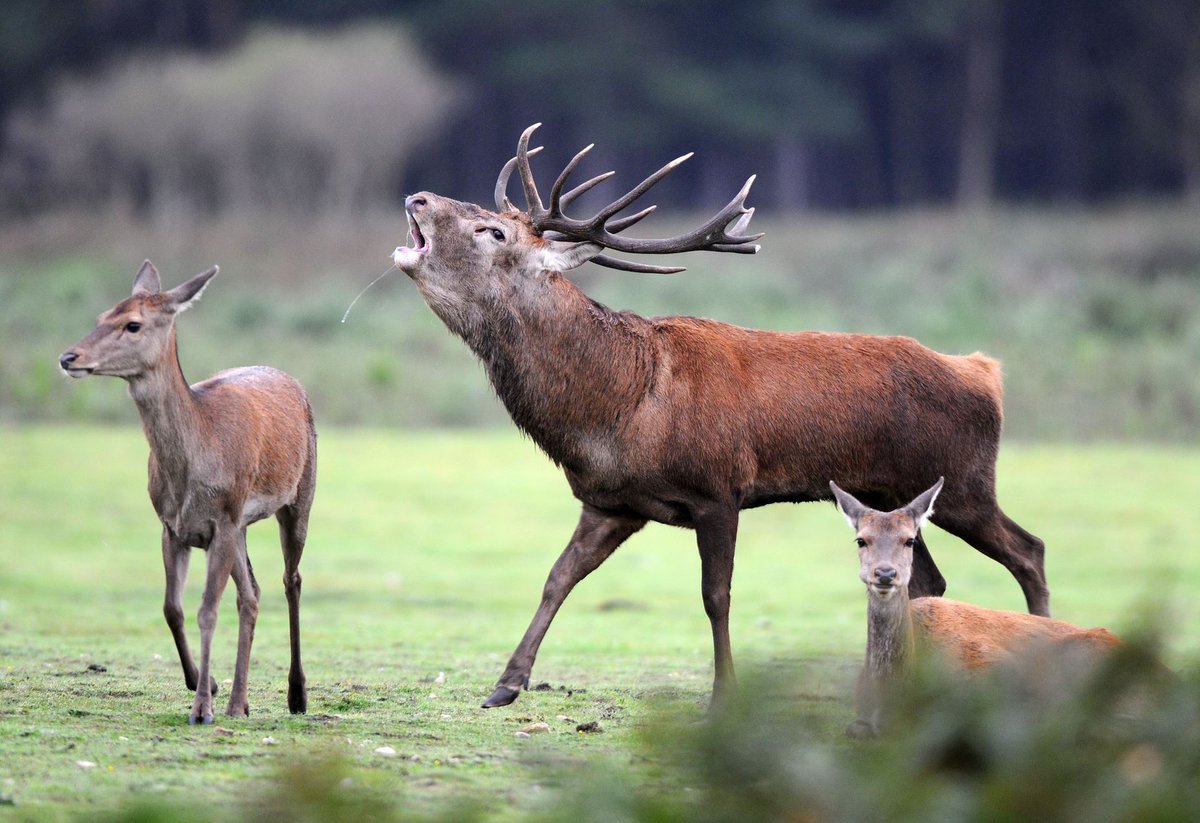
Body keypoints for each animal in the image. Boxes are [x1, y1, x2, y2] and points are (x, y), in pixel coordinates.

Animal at [61, 263, 316, 729]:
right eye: (101, 315)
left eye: (133, 324)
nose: (69, 358)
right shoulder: (173, 526)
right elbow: (172, 608)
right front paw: (206, 683)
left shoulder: (224, 519)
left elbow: (207, 610)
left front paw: (202, 708)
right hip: (240, 528)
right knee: (251, 593)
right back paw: (240, 701)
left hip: (297, 496)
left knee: (291, 581)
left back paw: (296, 694)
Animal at [388, 122, 1046, 710]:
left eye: (492, 230)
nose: (416, 196)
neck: (619, 408)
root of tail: (984, 372)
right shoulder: (611, 503)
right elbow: (557, 578)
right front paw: (505, 684)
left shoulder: (718, 488)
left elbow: (716, 595)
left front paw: (723, 693)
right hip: (894, 495)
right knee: (928, 579)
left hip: (963, 483)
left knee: (1029, 549)